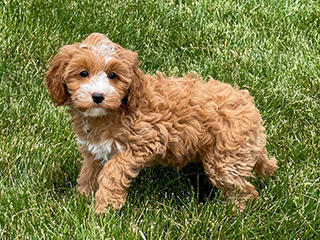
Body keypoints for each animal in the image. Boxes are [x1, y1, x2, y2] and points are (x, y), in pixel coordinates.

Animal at [45, 32, 278, 212]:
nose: (98, 96)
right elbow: (89, 173)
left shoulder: (144, 141)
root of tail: (251, 108)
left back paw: (234, 214)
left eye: (113, 75)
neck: (115, 109)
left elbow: (113, 171)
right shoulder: (94, 149)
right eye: (83, 73)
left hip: (225, 159)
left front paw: (103, 209)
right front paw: (81, 200)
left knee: (244, 189)